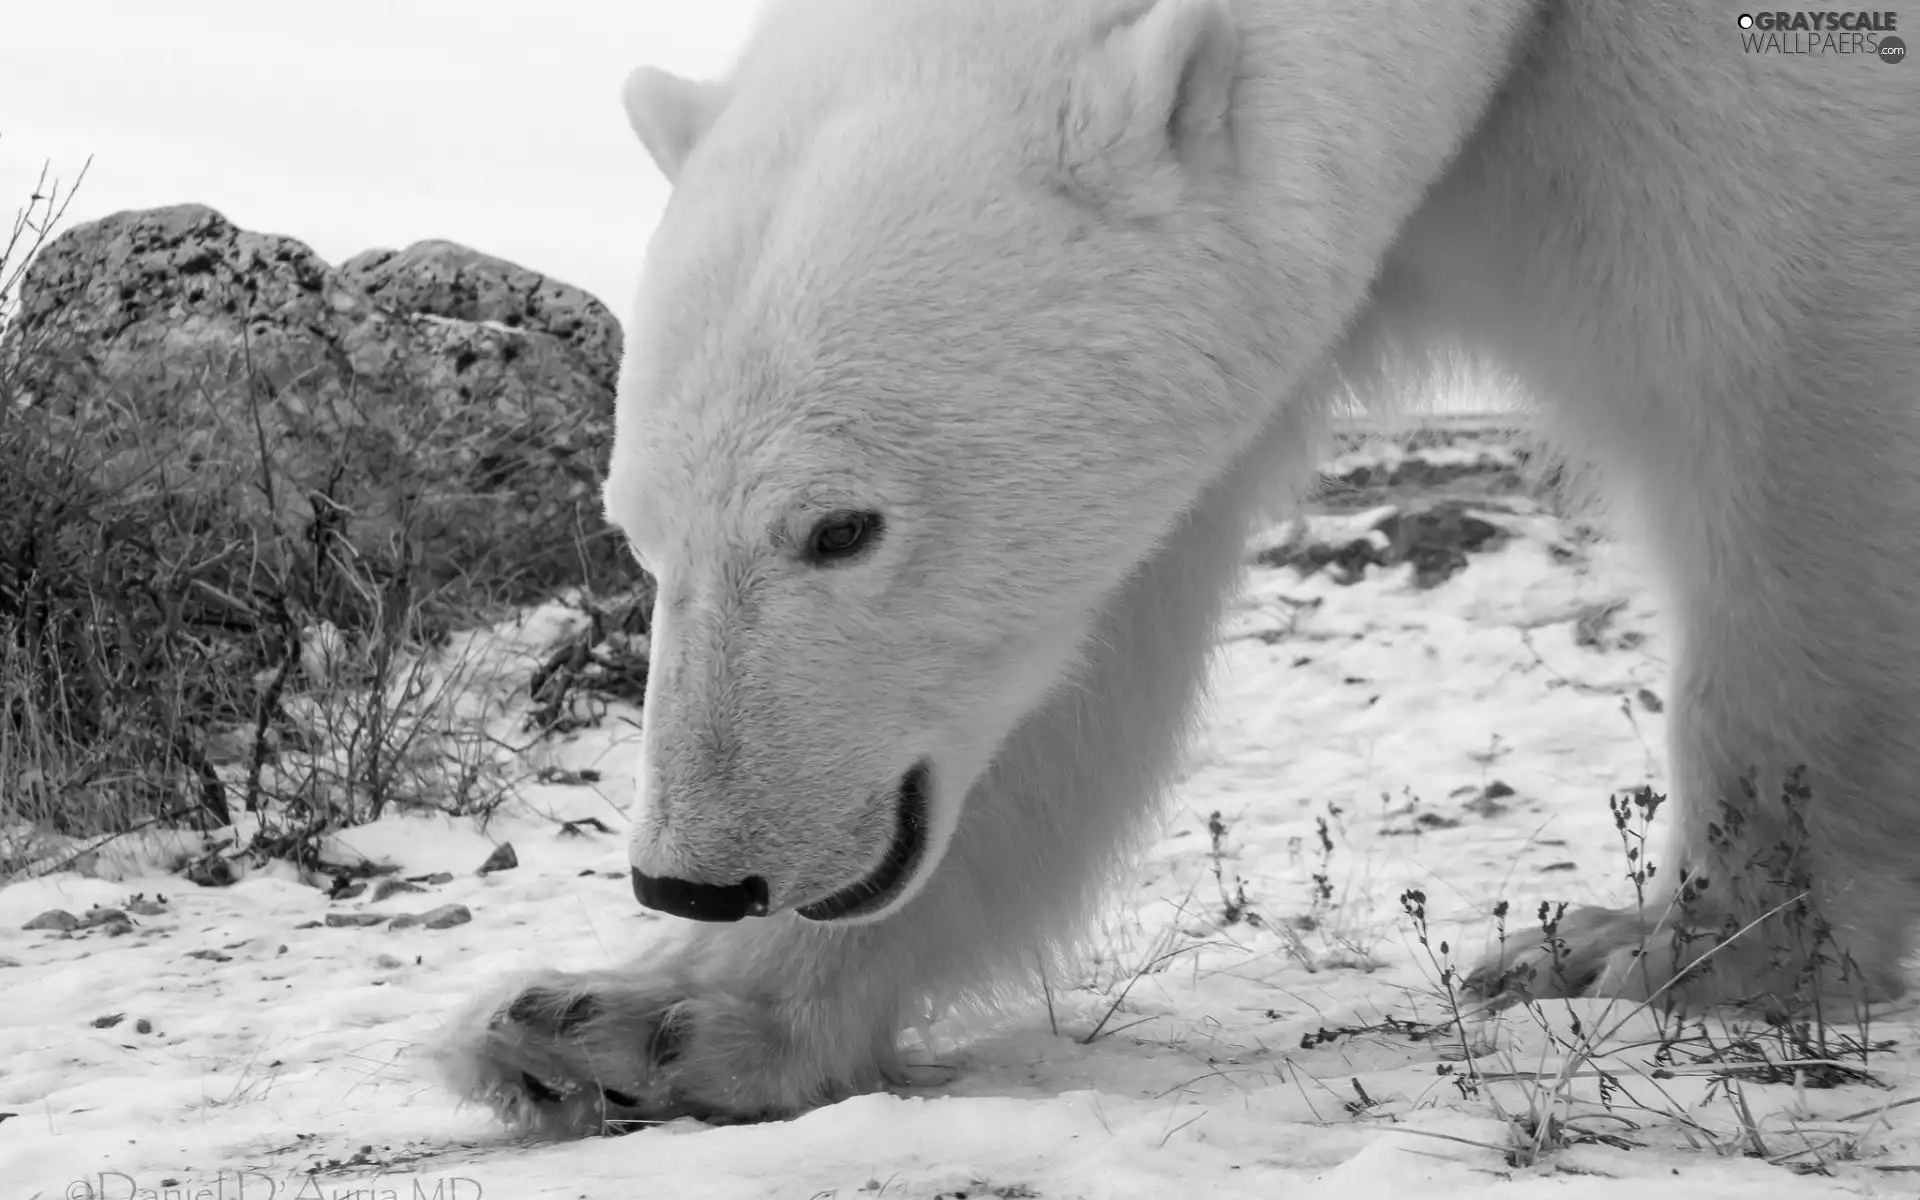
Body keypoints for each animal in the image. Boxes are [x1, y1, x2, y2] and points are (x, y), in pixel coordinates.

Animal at [441, 0, 1920, 1128]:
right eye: (636, 534)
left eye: (837, 527)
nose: (692, 876)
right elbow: (1080, 650)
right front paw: (622, 1024)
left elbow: (1789, 416)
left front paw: (1683, 953)